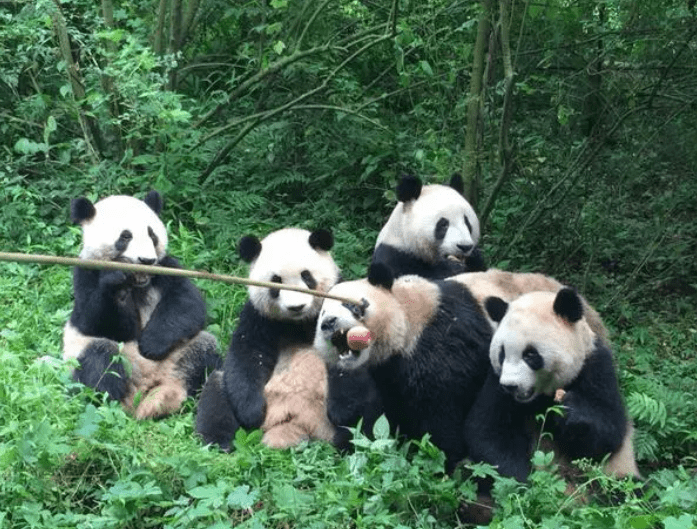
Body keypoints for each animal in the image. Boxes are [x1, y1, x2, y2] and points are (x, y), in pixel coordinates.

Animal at [63, 192, 220, 418]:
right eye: (125, 236)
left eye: (151, 234)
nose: (146, 260)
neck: (138, 283)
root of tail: (142, 393)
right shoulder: (86, 272)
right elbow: (95, 321)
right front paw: (116, 283)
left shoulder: (167, 268)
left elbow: (187, 303)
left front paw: (150, 345)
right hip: (89, 356)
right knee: (100, 358)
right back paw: (105, 403)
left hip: (179, 355)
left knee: (205, 351)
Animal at [194, 227, 342, 450]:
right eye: (276, 281)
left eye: (306, 276)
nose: (296, 307)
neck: (299, 322)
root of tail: (296, 422)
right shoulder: (259, 317)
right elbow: (247, 356)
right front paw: (253, 413)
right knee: (217, 390)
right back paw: (219, 442)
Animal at [312, 262, 492, 468]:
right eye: (322, 314)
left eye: (349, 305)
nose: (328, 322)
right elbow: (354, 411)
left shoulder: (441, 341)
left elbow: (440, 408)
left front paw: (440, 457)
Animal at [464, 286, 640, 488]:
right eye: (502, 354)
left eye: (530, 355)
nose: (510, 386)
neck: (540, 398)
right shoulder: (495, 381)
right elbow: (488, 433)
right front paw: (524, 484)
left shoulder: (595, 366)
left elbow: (608, 433)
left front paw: (569, 411)